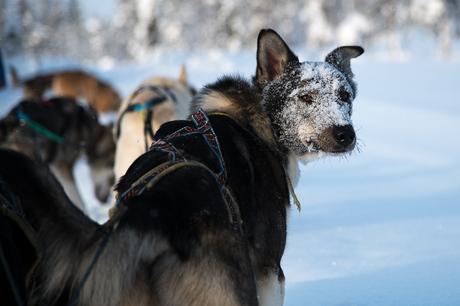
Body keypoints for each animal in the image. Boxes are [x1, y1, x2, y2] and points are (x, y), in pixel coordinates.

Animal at [0, 29, 364, 306]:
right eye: (305, 97)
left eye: (344, 95)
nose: (345, 134)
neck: (255, 121)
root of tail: (146, 216)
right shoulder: (269, 270)